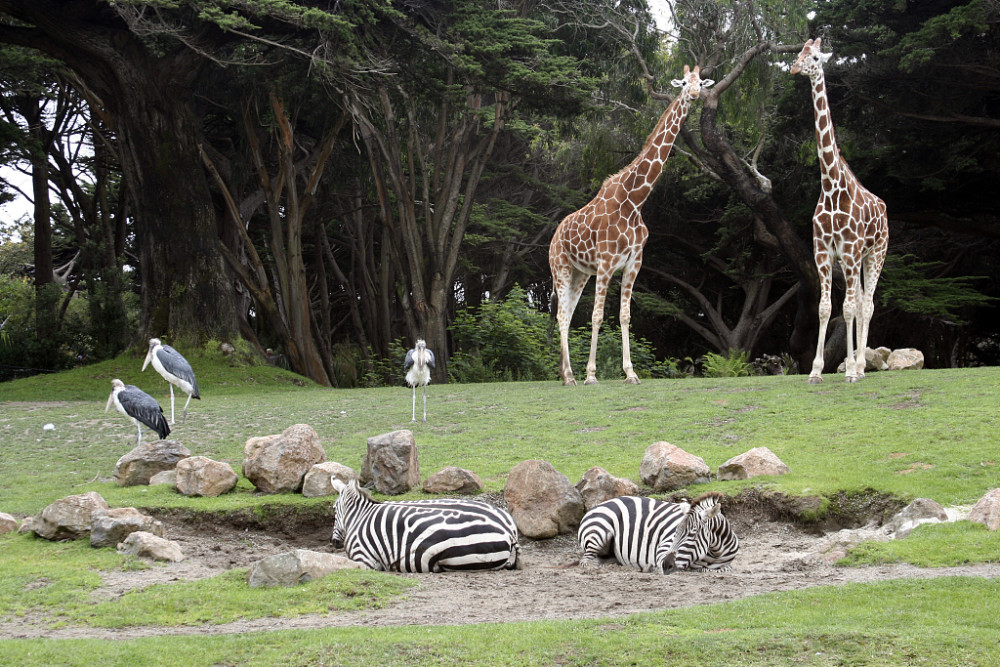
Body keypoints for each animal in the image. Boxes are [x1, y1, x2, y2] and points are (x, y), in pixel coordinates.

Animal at [334, 480, 528, 576]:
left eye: (334, 509)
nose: (334, 543)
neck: (360, 516)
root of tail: (509, 532)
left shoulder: (364, 558)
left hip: (457, 558)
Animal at [548, 66, 712, 386]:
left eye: (702, 81)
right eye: (683, 83)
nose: (695, 94)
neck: (634, 201)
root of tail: (554, 236)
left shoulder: (634, 262)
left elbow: (624, 316)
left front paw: (630, 372)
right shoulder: (606, 263)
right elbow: (597, 316)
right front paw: (591, 376)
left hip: (579, 273)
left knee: (567, 314)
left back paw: (564, 375)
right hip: (560, 267)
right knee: (562, 315)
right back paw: (572, 376)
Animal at [580, 490, 736, 576]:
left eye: (693, 534)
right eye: (675, 532)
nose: (666, 565)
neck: (714, 554)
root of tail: (600, 504)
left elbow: (724, 570)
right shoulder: (664, 547)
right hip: (598, 532)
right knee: (585, 561)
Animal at [792, 39, 896, 384]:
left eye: (814, 57)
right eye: (797, 53)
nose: (794, 68)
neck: (831, 185)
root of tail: (884, 208)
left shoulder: (849, 250)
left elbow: (849, 308)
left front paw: (849, 369)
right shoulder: (824, 251)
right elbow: (826, 308)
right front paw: (816, 371)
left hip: (876, 252)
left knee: (868, 303)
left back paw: (860, 366)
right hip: (859, 259)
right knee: (861, 300)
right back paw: (857, 365)